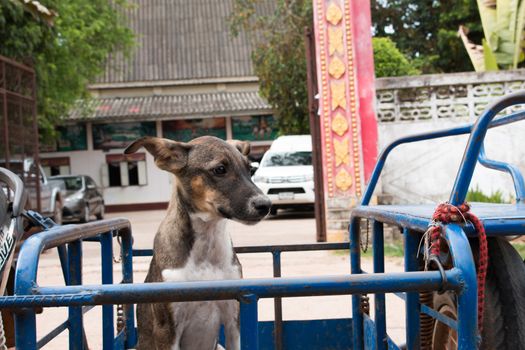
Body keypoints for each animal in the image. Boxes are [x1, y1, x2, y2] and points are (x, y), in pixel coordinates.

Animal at [123, 136, 270, 350]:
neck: (206, 250)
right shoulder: (167, 330)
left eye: (250, 170)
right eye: (220, 169)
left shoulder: (234, 321)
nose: (266, 205)